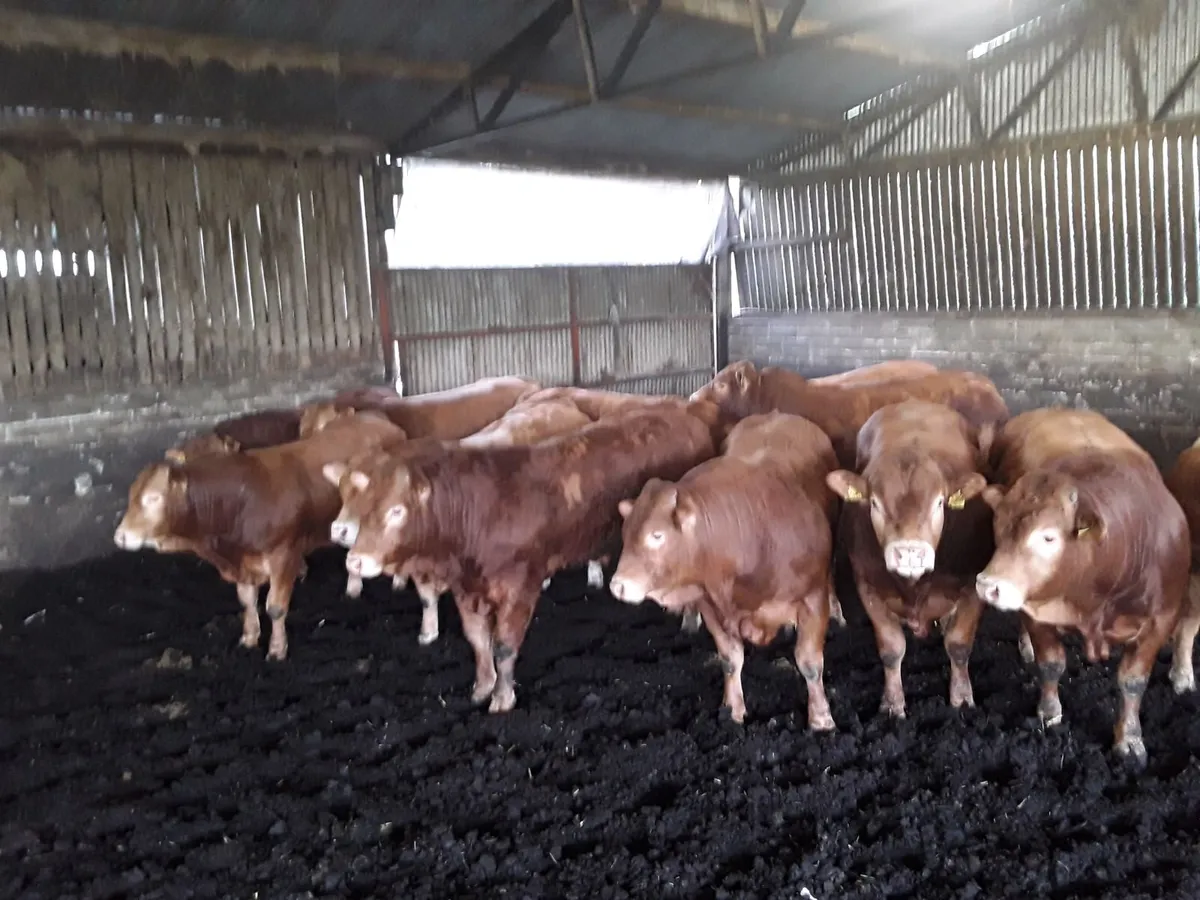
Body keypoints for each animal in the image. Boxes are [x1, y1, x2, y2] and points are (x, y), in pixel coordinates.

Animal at [113, 412, 408, 661]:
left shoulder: (284, 555)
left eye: (153, 497)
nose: (121, 537)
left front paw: (277, 650)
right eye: (130, 497)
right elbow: (247, 601)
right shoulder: (243, 562)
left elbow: (275, 607)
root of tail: (380, 421)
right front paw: (249, 638)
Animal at [340, 407, 717, 713]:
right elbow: (478, 640)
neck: (480, 512)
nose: (355, 561)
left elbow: (505, 646)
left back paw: (689, 619)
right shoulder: (466, 587)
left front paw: (502, 698)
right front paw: (482, 687)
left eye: (396, 510)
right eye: (361, 505)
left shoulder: (518, 587)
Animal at [607, 412, 838, 728]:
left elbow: (810, 662)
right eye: (626, 533)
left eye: (656, 535)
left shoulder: (812, 597)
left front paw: (821, 719)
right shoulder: (710, 604)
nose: (618, 585)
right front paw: (733, 711)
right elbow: (730, 659)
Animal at [825, 400, 994, 717]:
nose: (910, 552)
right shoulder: (868, 586)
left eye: (939, 502)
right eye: (875, 503)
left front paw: (962, 700)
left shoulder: (973, 587)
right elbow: (891, 649)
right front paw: (892, 704)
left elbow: (959, 645)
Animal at [974, 408, 1191, 766]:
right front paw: (1049, 715)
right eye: (999, 526)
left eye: (1048, 537)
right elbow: (1051, 665)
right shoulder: (1038, 610)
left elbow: (1133, 682)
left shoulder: (1160, 621)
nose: (989, 585)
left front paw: (1129, 740)